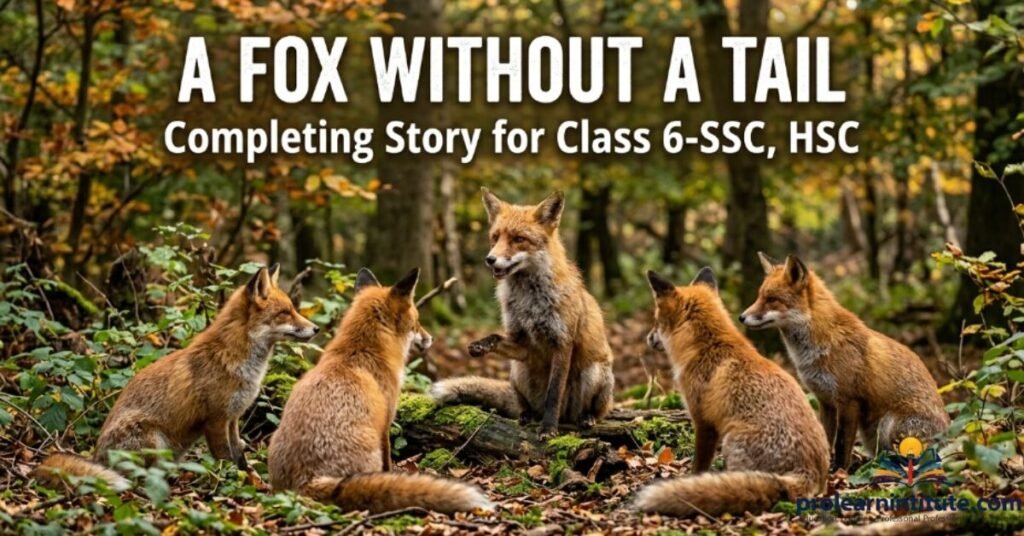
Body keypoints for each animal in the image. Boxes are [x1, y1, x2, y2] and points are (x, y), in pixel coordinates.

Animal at [33, 264, 319, 490]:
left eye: (293, 309)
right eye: (285, 312)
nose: (316, 328)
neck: (238, 360)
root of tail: (96, 457)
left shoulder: (233, 417)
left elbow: (239, 456)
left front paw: (250, 481)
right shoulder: (215, 419)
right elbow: (224, 458)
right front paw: (229, 484)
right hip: (152, 438)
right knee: (140, 476)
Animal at [267, 268, 493, 514]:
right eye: (416, 321)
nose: (430, 339)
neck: (358, 352)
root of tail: (305, 481)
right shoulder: (386, 421)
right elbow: (388, 463)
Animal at [429, 189, 615, 438]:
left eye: (518, 239)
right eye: (495, 237)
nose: (490, 259)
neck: (530, 301)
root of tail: (568, 416)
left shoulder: (562, 342)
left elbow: (553, 394)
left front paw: (548, 429)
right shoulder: (521, 341)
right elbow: (496, 337)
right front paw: (480, 345)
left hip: (593, 372)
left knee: (594, 410)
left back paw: (586, 417)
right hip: (517, 370)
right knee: (526, 405)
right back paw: (527, 415)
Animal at [633, 268, 829, 518]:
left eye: (656, 319)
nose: (648, 338)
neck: (709, 345)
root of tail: (811, 472)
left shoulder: (703, 421)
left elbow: (699, 465)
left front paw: (691, 480)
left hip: (731, 441)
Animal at [740, 253, 949, 469]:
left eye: (772, 300)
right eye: (759, 296)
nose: (741, 317)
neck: (819, 345)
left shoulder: (849, 400)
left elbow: (841, 444)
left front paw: (839, 471)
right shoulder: (825, 400)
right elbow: (825, 438)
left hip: (888, 426)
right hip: (871, 433)